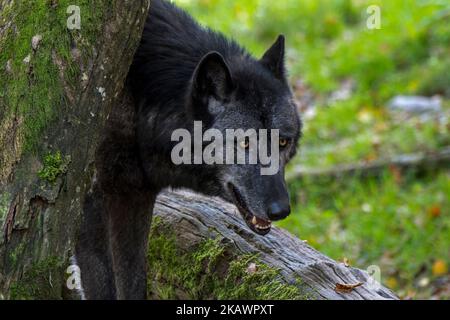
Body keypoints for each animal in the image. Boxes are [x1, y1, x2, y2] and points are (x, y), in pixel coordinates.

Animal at [76, 0, 302, 300]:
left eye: (283, 142)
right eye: (244, 142)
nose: (281, 210)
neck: (142, 96)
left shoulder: (135, 196)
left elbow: (133, 282)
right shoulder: (91, 204)